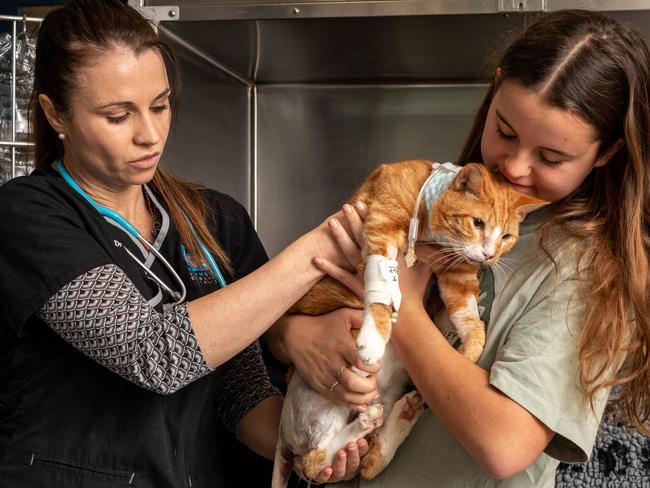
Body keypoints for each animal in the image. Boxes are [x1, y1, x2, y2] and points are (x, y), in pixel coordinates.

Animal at [270, 160, 544, 484]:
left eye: (506, 237)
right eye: (478, 223)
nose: (489, 256)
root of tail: (283, 436)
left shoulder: (458, 273)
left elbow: (471, 318)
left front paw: (470, 351)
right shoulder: (381, 225)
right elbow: (383, 289)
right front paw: (373, 341)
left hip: (385, 395)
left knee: (367, 463)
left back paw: (403, 414)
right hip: (325, 403)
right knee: (314, 460)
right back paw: (365, 421)